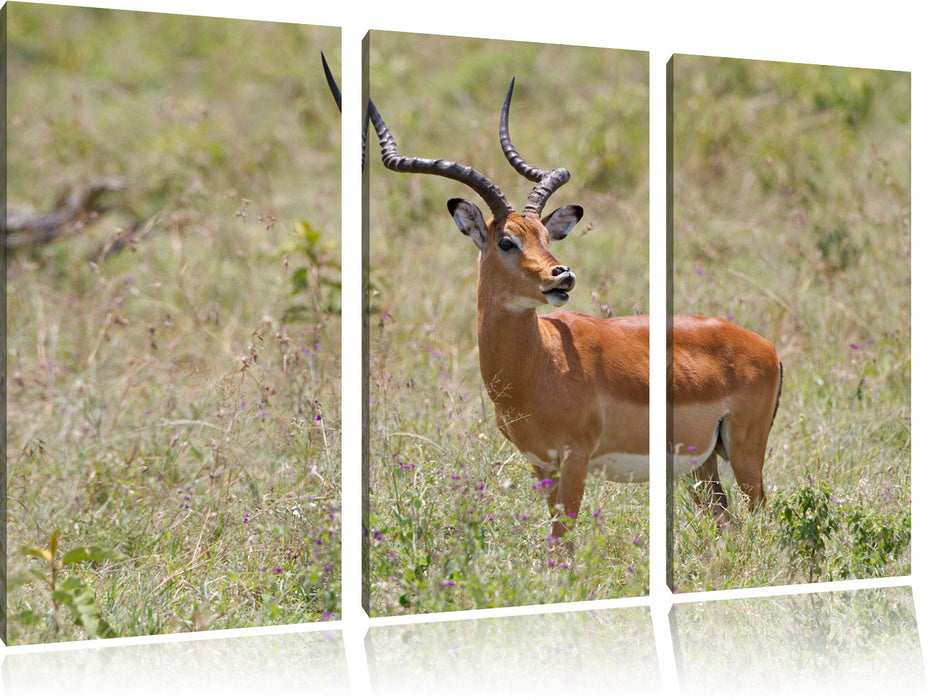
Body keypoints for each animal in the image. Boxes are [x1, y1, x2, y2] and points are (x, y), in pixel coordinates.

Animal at [366, 79, 784, 544]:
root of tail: (767, 348)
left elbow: (564, 539)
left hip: (745, 453)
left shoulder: (576, 457)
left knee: (762, 518)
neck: (540, 363)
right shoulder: (541, 462)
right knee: (727, 518)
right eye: (506, 241)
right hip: (701, 464)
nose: (562, 276)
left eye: (546, 236)